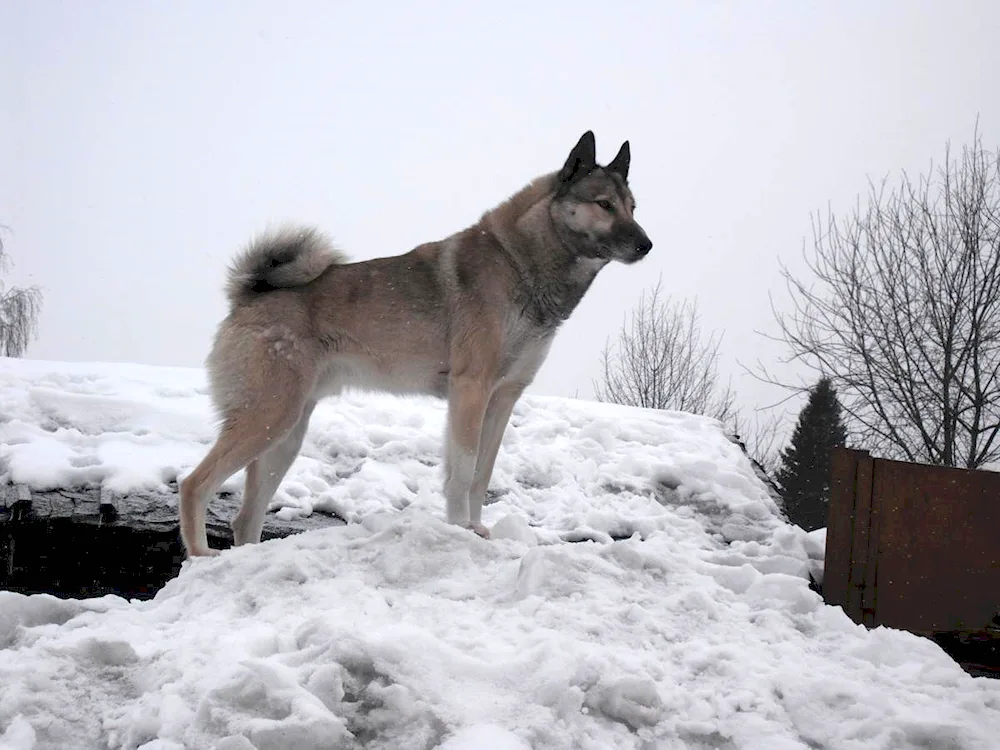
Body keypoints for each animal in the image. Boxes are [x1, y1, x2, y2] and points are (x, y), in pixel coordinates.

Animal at [178, 131, 656, 560]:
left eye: (633, 207)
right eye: (604, 204)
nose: (647, 245)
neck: (521, 263)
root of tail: (249, 295)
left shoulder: (502, 399)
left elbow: (482, 475)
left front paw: (478, 531)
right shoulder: (471, 390)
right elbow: (462, 472)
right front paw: (461, 530)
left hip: (285, 434)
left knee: (245, 518)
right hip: (268, 416)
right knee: (194, 484)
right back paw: (201, 557)